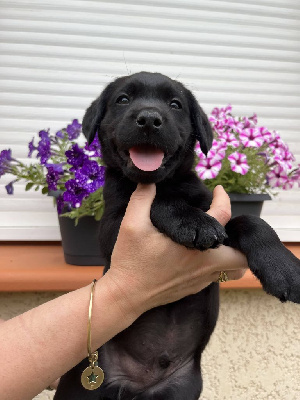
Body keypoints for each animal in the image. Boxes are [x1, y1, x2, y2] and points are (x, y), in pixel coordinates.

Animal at [54, 72, 300, 400]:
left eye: (175, 104)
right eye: (123, 99)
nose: (149, 118)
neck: (163, 181)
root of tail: (135, 386)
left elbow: (251, 221)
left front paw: (285, 270)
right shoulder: (112, 228)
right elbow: (160, 202)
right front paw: (192, 222)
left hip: (180, 388)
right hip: (82, 384)